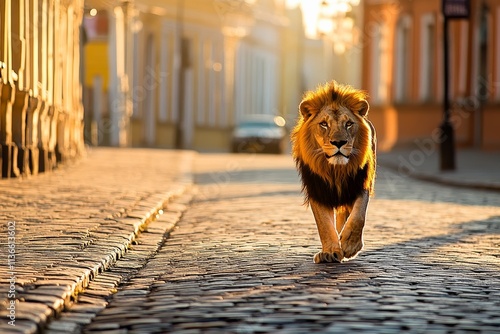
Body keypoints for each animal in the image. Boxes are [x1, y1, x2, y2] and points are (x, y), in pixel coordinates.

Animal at [290, 81, 376, 264]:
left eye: (348, 124)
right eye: (324, 124)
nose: (338, 142)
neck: (335, 170)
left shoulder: (360, 184)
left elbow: (358, 216)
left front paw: (350, 245)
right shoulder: (318, 191)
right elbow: (324, 224)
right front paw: (330, 252)